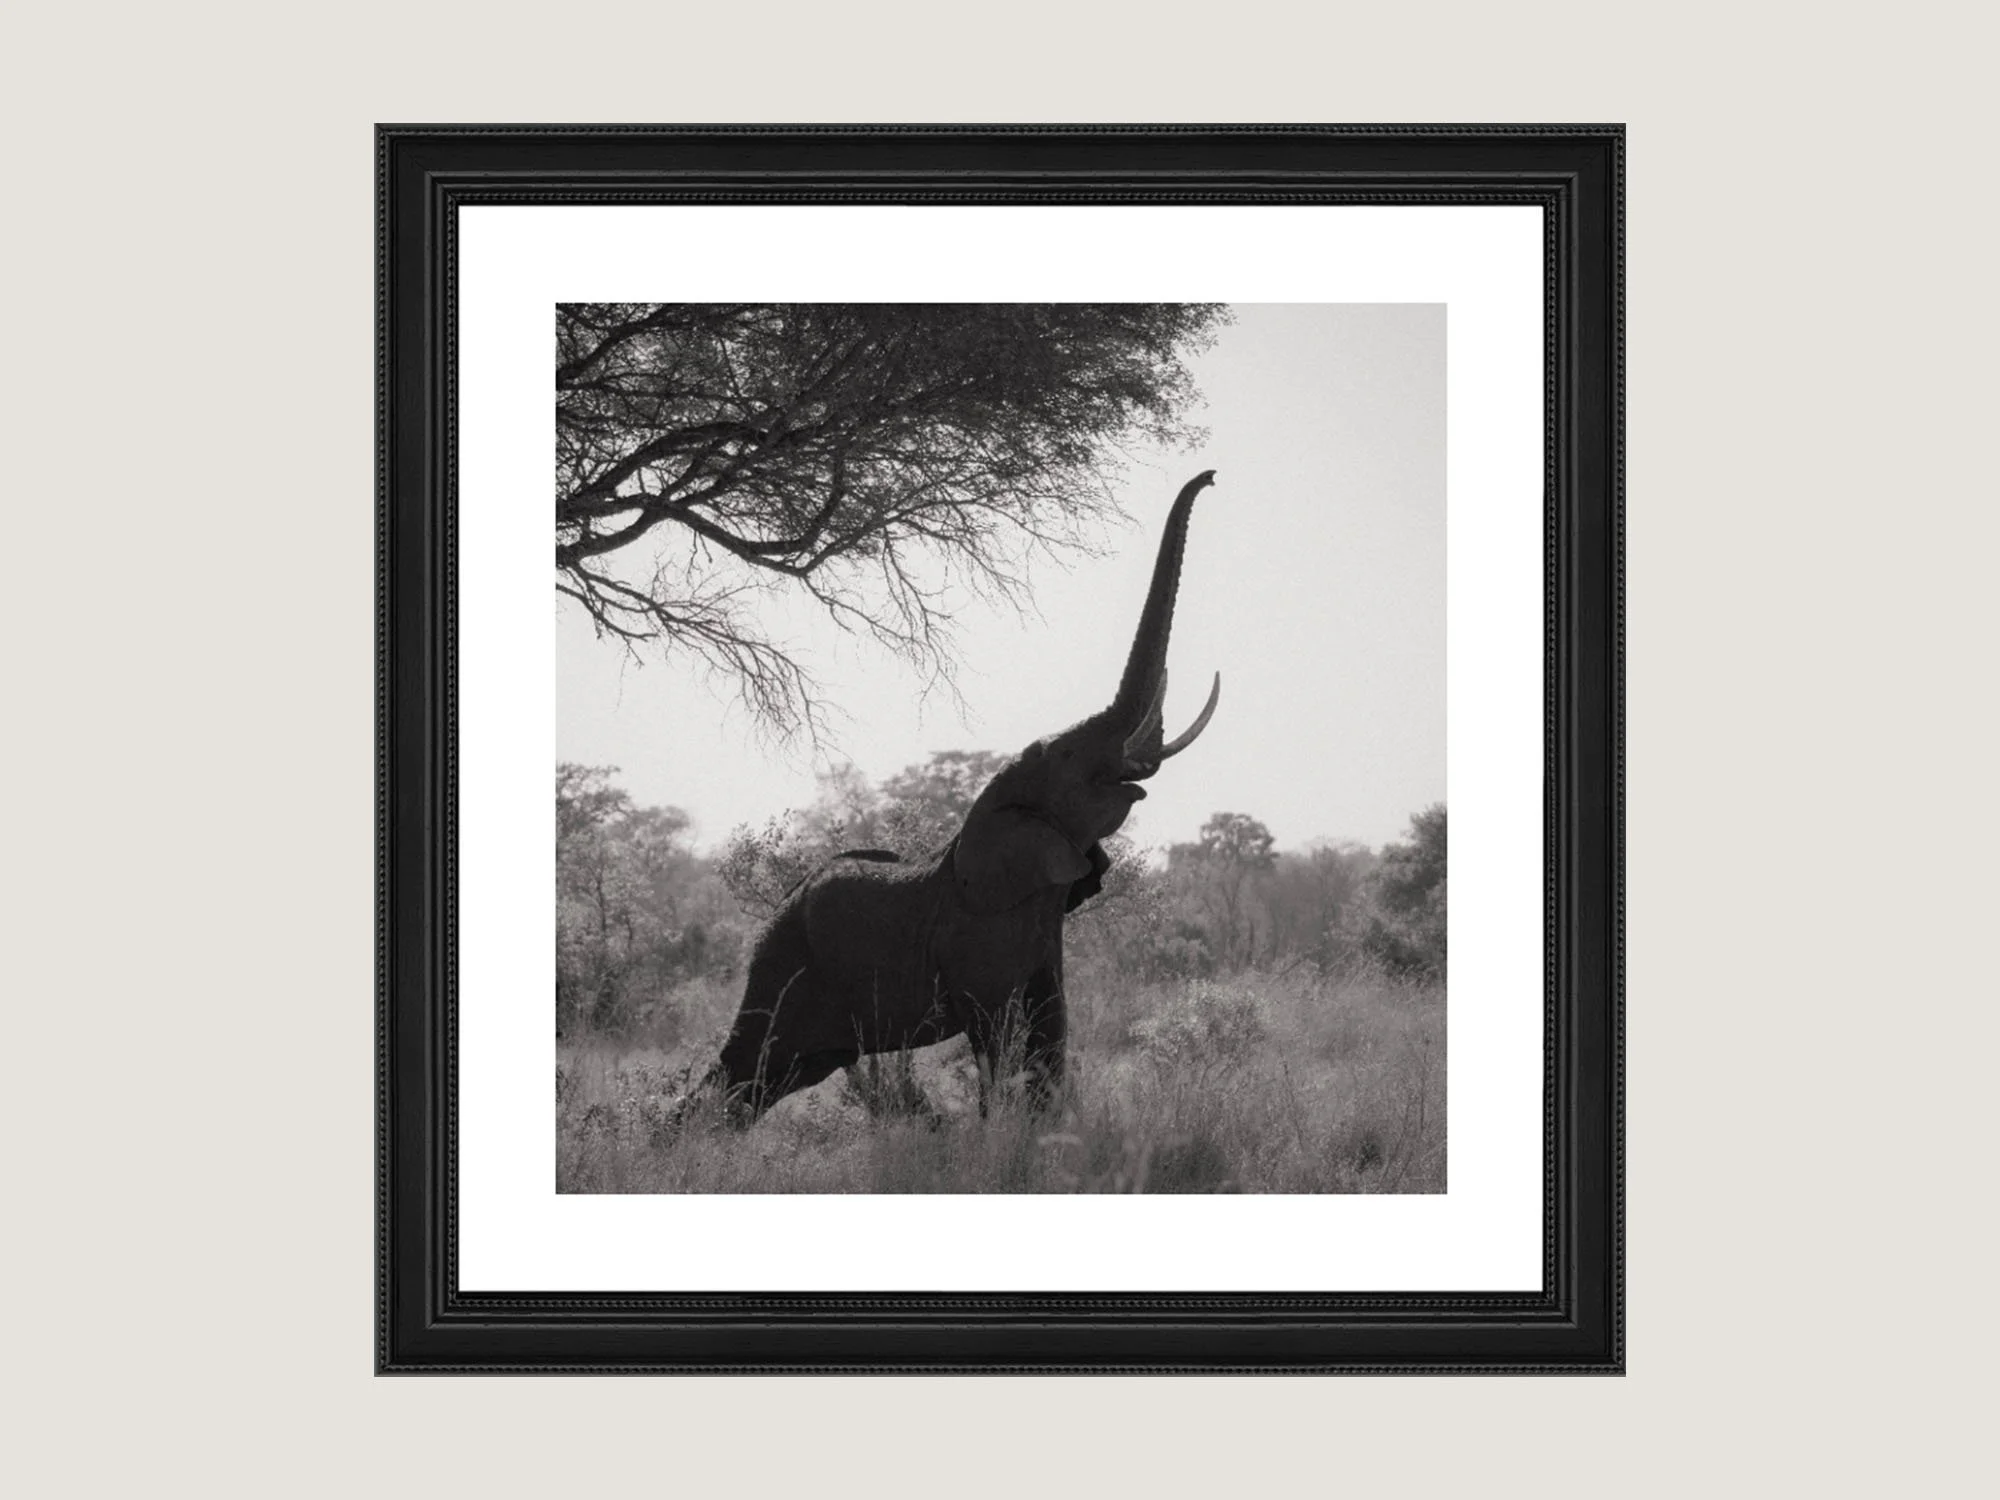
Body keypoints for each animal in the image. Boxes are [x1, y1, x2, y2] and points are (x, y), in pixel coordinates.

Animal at [685, 470, 1224, 1124]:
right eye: (1069, 757)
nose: (1212, 477)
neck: (989, 819)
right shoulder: (978, 935)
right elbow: (998, 1035)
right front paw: (1001, 1134)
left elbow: (1053, 1027)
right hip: (783, 965)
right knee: (747, 1063)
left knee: (772, 1077)